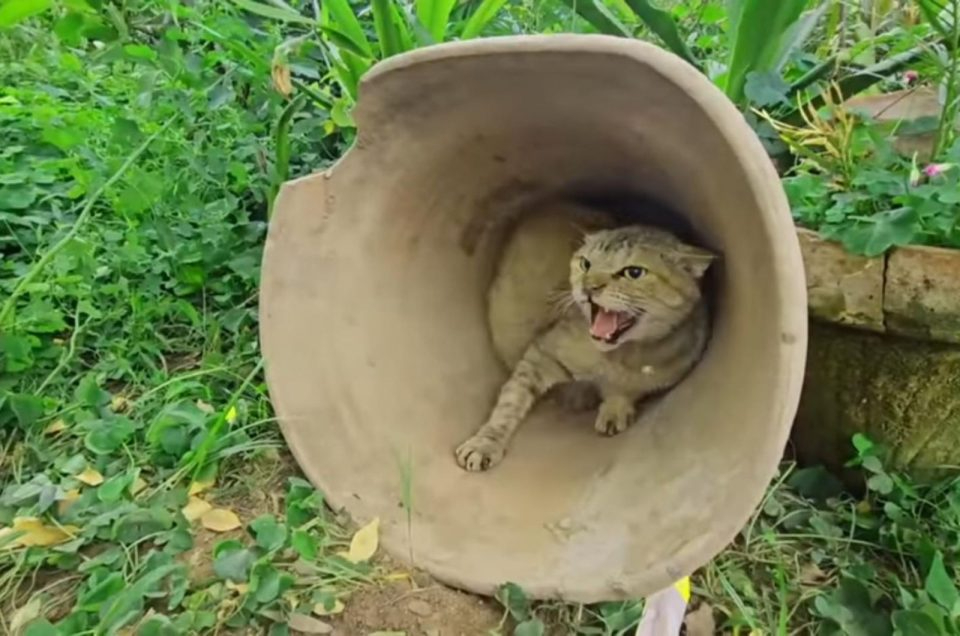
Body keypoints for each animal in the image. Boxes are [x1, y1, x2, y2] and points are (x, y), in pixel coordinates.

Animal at [456, 201, 712, 470]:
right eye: (586, 264)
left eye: (634, 272)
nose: (588, 287)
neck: (620, 357)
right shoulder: (542, 352)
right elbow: (509, 402)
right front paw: (485, 442)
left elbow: (627, 390)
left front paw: (615, 409)